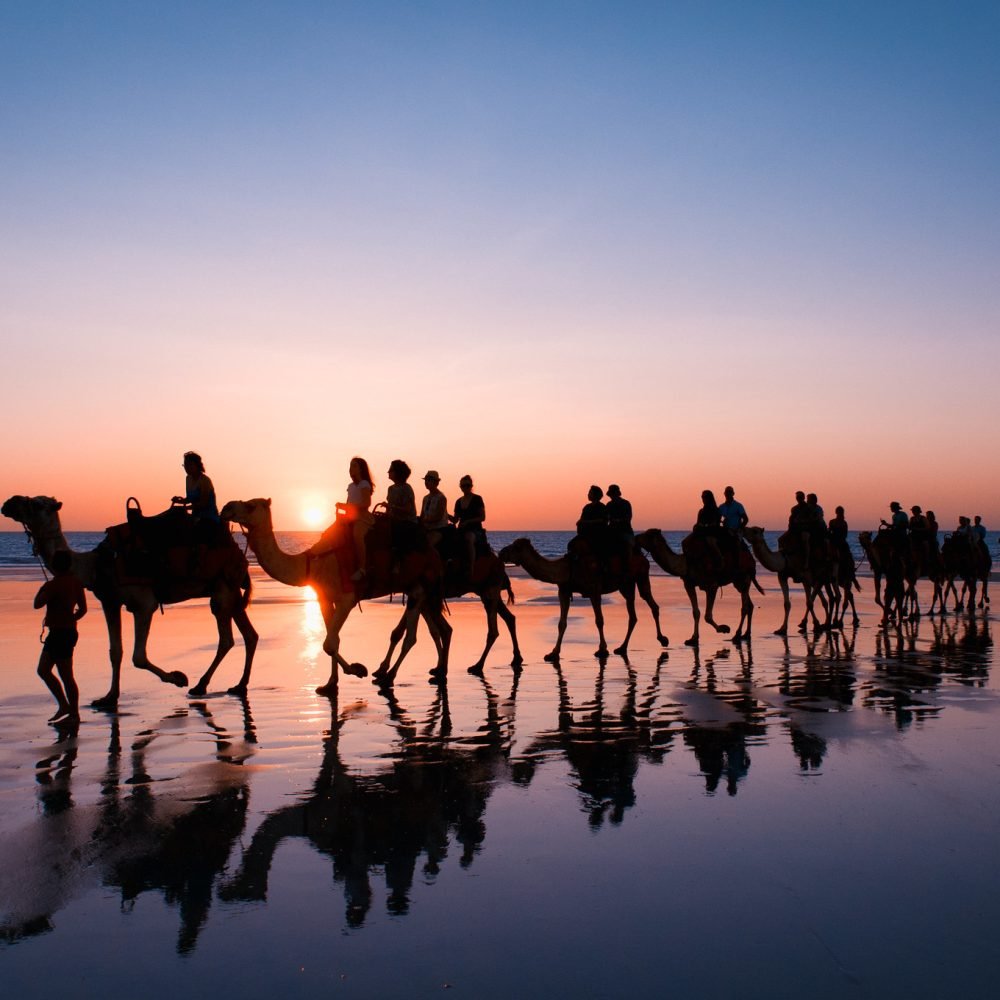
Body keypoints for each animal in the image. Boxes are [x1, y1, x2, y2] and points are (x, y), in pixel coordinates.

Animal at [1, 496, 258, 708]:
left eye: (36, 504)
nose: (8, 503)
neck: (96, 565)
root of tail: (238, 550)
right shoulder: (110, 602)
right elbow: (116, 652)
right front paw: (108, 697)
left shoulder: (144, 604)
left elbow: (139, 656)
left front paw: (177, 677)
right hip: (230, 592)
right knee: (249, 635)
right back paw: (238, 685)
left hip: (222, 590)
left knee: (226, 638)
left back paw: (200, 685)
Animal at [224, 498, 454, 692]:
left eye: (251, 505)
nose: (226, 507)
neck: (312, 563)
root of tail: (433, 553)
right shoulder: (324, 598)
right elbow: (332, 640)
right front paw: (330, 684)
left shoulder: (347, 599)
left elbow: (329, 643)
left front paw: (357, 669)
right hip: (420, 590)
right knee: (436, 628)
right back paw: (434, 671)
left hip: (419, 588)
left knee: (412, 637)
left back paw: (389, 677)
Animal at [496, 536, 668, 660]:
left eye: (516, 547)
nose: (501, 552)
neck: (568, 567)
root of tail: (643, 557)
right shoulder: (564, 591)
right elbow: (562, 623)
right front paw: (553, 653)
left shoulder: (594, 590)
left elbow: (599, 620)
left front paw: (602, 649)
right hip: (626, 585)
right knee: (632, 614)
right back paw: (622, 648)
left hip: (641, 575)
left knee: (651, 604)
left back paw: (662, 639)